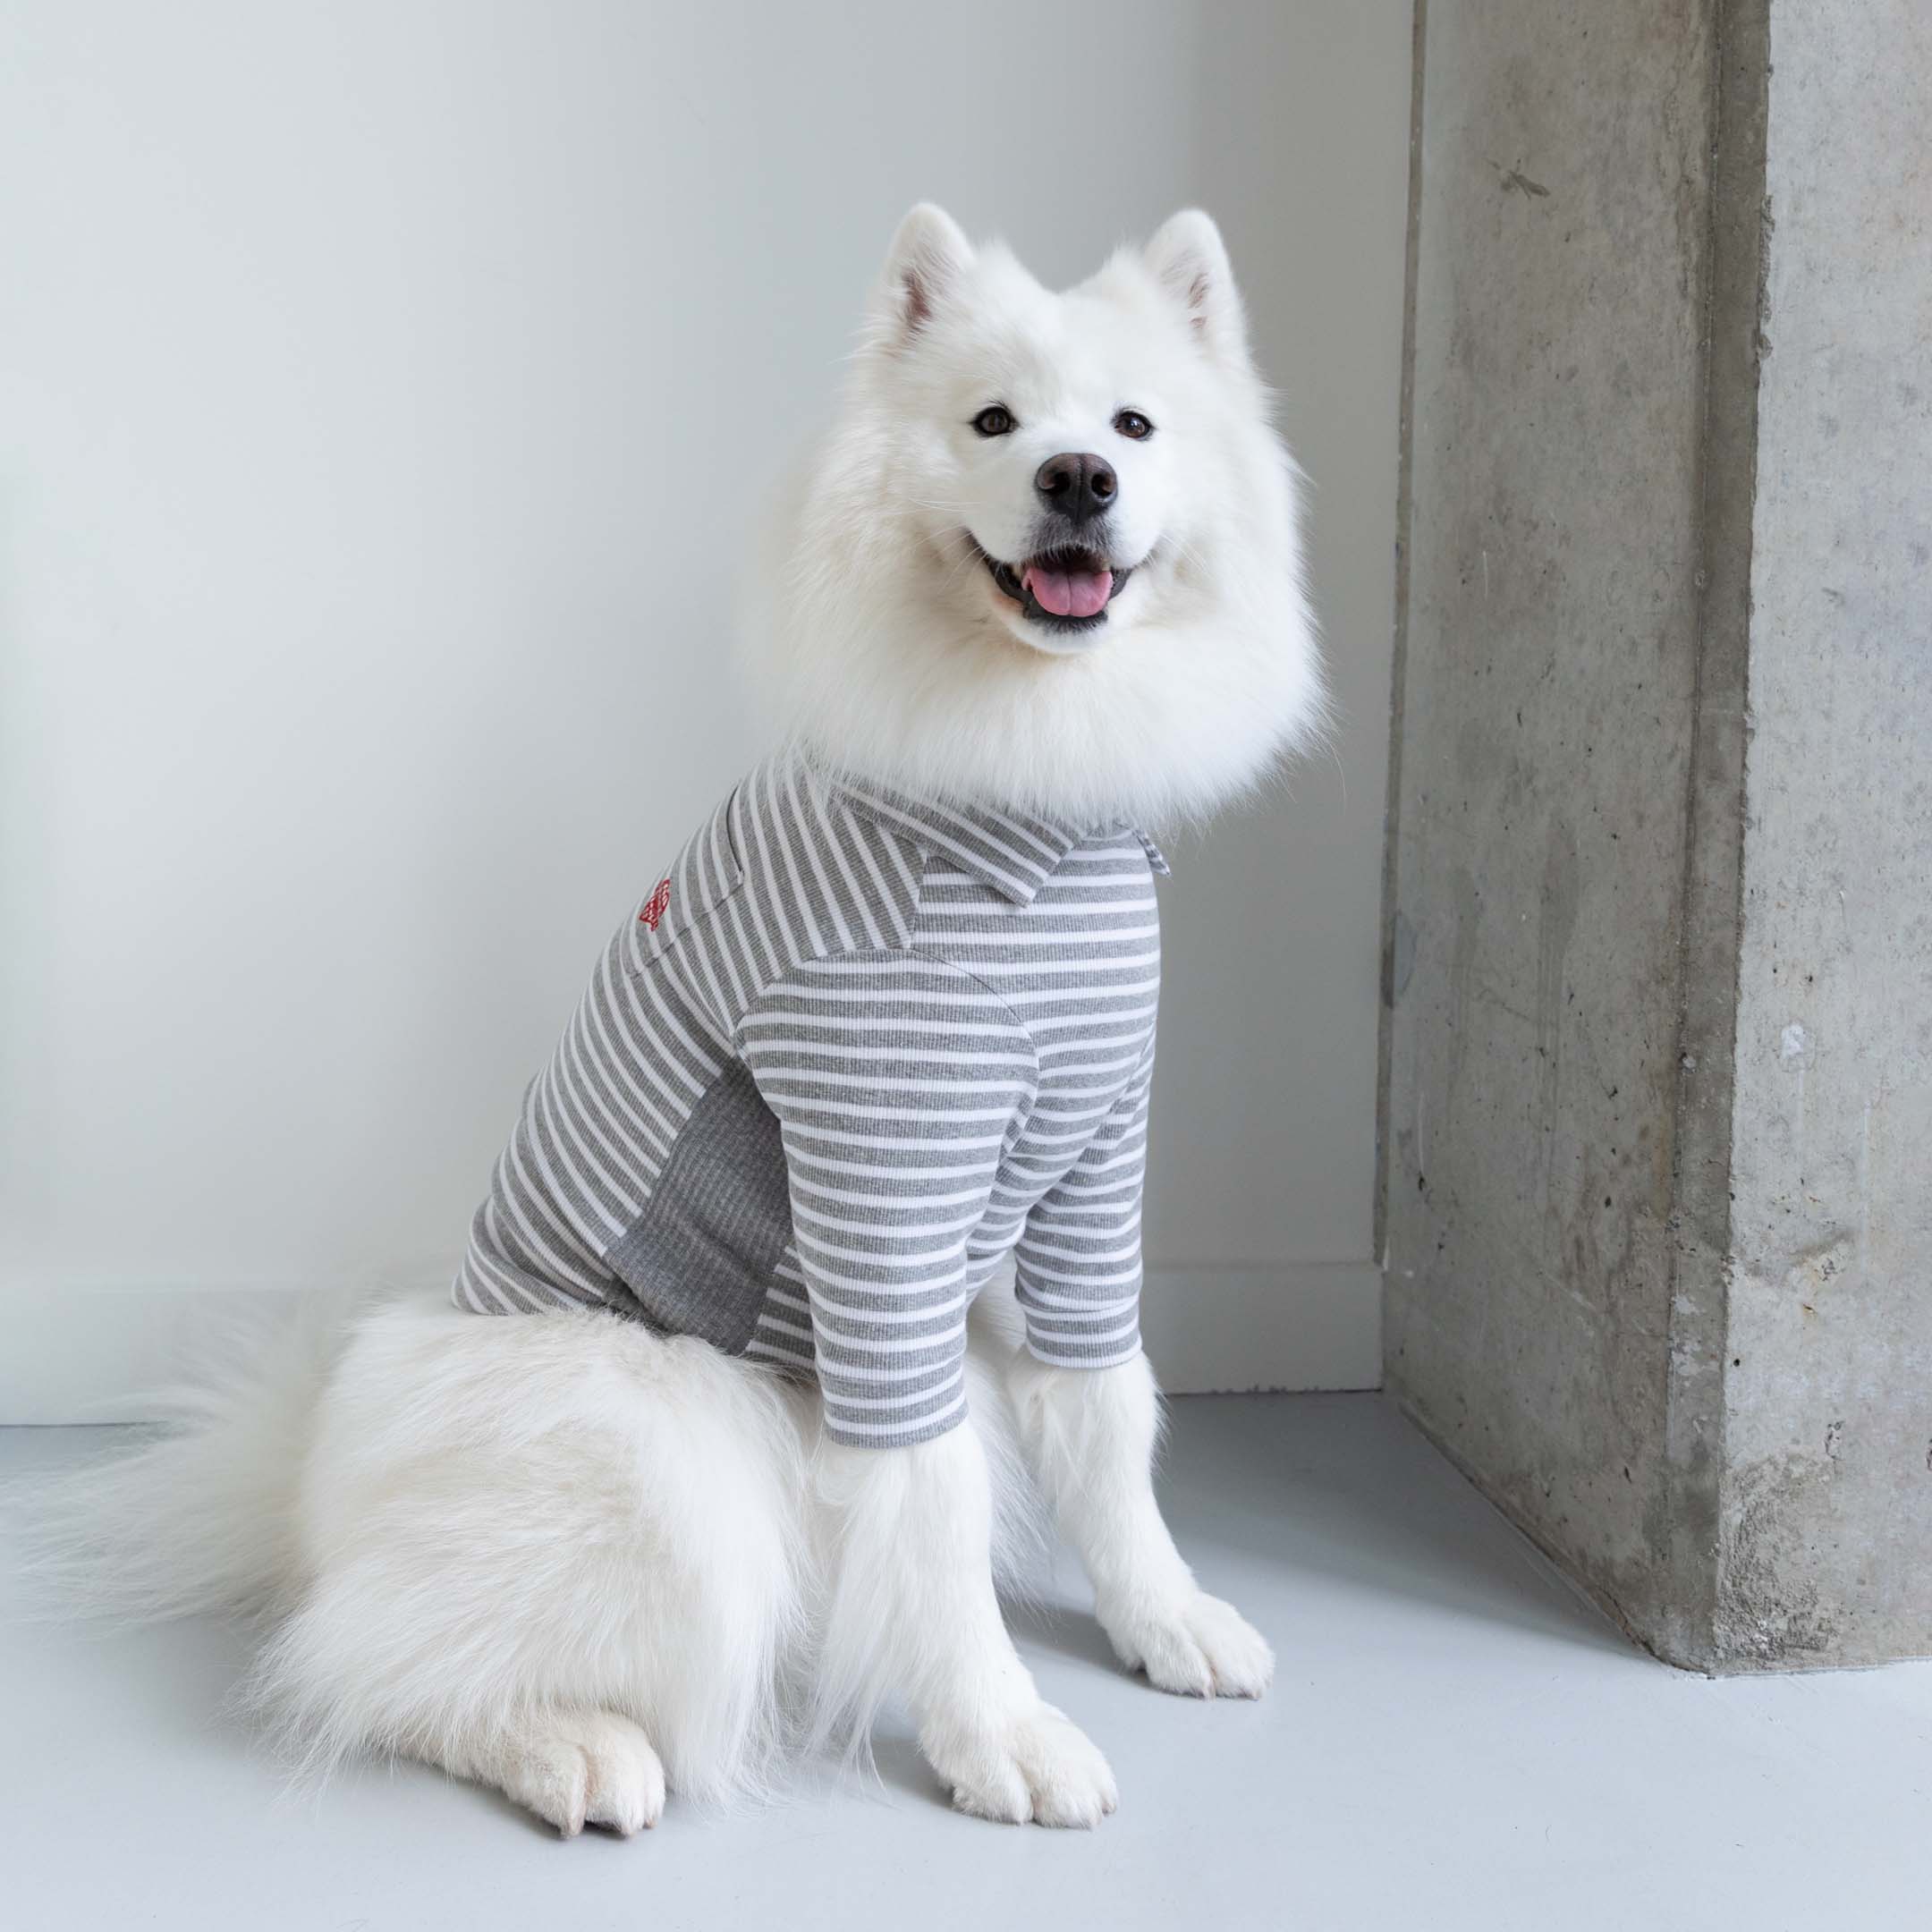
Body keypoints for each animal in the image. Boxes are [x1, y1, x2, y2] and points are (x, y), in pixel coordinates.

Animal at [38, 203, 1329, 1831]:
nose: (1077, 480)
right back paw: (573, 1749)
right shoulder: (885, 1196)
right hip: (668, 1439)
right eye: (993, 422)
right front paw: (1001, 1732)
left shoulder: (1091, 1172)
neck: (1028, 802)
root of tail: (314, 1500)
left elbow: (1108, 1422)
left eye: (1133, 426)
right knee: (370, 1667)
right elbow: (939, 1499)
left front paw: (1164, 1620)